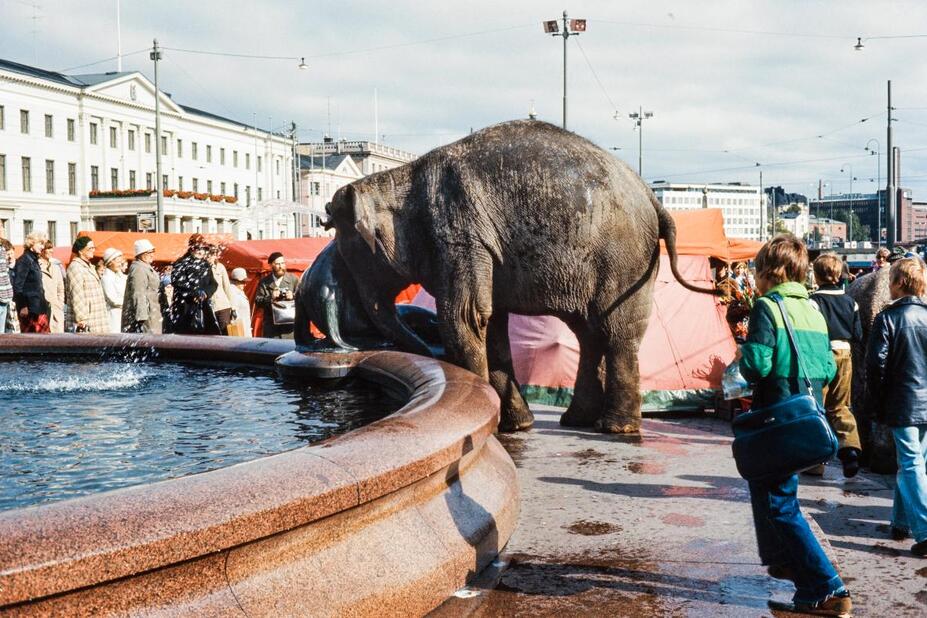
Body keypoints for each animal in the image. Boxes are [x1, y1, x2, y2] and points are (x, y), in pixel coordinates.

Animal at [322, 118, 716, 430]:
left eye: (345, 246)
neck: (397, 176)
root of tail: (654, 200)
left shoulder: (460, 232)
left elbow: (464, 318)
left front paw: (490, 424)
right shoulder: (477, 245)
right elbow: (492, 321)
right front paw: (513, 425)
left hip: (624, 260)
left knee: (615, 331)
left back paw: (615, 428)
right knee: (590, 332)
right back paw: (578, 421)